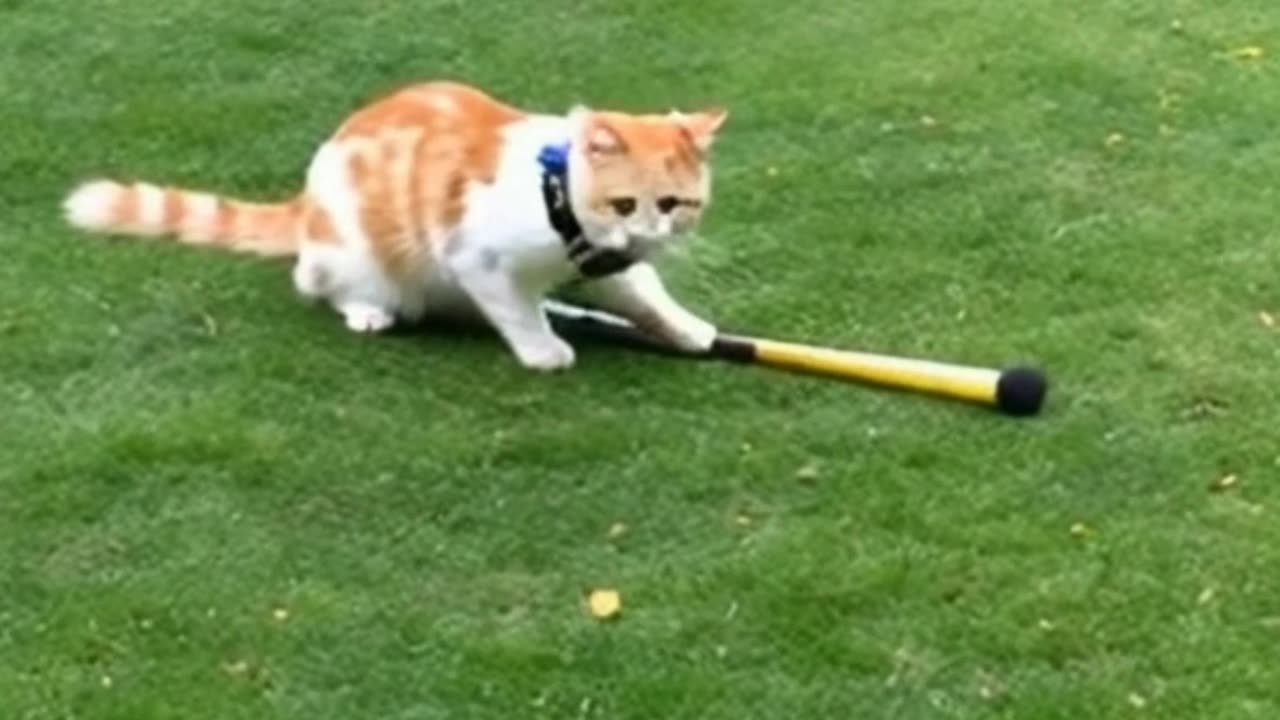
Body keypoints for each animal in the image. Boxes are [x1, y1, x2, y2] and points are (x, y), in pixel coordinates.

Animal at [64, 79, 732, 368]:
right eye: (624, 204)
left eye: (673, 205)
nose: (650, 235)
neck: (556, 196)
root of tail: (305, 202)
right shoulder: (477, 259)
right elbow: (519, 311)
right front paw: (544, 351)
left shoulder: (606, 261)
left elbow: (645, 293)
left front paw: (688, 328)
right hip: (360, 254)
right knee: (316, 282)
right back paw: (368, 309)